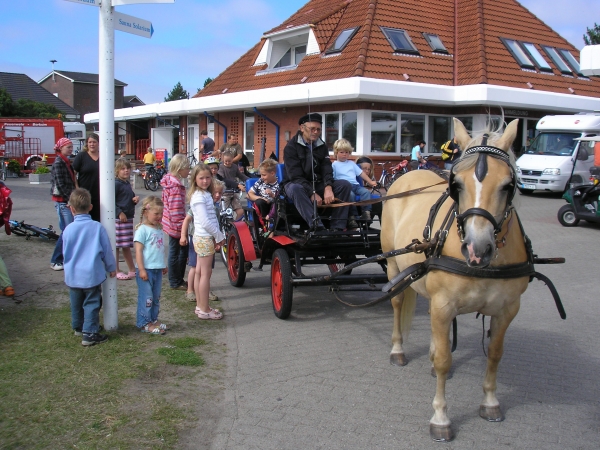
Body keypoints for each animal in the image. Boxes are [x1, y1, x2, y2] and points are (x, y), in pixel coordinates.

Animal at [381, 118, 529, 441]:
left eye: (508, 185)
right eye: (457, 184)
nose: (477, 248)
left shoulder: (508, 309)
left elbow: (494, 354)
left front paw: (490, 402)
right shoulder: (444, 304)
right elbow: (445, 360)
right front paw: (440, 418)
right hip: (393, 264)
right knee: (397, 303)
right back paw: (397, 350)